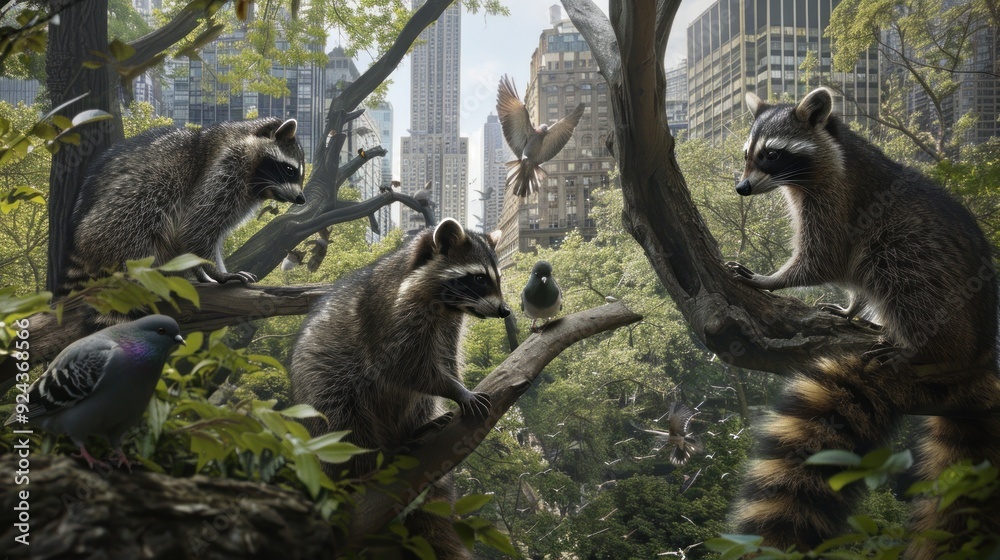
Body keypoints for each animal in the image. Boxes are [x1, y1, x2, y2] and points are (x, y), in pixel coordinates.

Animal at [65, 118, 305, 289]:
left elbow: (193, 235)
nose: (302, 199)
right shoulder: (227, 166)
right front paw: (218, 272)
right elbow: (195, 228)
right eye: (290, 170)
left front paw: (202, 271)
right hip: (122, 208)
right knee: (145, 208)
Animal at [289, 218, 510, 559]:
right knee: (345, 422)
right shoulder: (389, 316)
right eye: (478, 278)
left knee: (418, 402)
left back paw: (412, 431)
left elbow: (445, 358)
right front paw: (456, 390)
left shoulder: (448, 323)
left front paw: (456, 384)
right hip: (324, 384)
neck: (445, 305)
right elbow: (404, 368)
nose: (505, 311)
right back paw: (375, 461)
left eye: (496, 278)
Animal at [727, 88, 1000, 555]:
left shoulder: (840, 200)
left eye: (772, 155)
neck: (833, 152)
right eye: (748, 154)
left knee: (903, 268)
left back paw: (926, 352)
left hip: (930, 274)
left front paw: (773, 278)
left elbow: (823, 258)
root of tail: (982, 355)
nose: (742, 188)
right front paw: (853, 305)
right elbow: (850, 277)